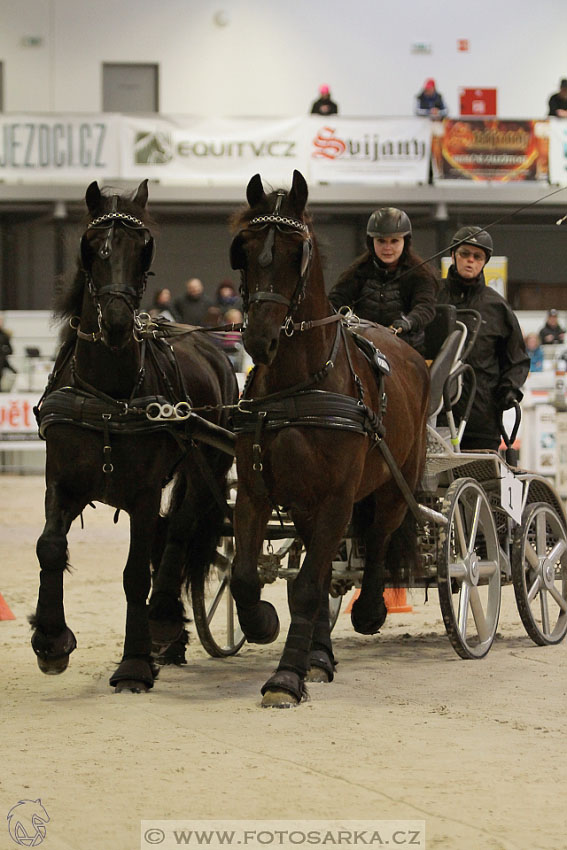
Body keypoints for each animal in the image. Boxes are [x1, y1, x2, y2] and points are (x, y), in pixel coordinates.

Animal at [32, 179, 239, 688]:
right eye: (91, 246)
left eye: (144, 248)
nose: (118, 323)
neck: (109, 393)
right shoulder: (63, 480)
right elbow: (50, 547)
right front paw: (50, 641)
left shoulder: (143, 493)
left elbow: (133, 575)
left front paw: (135, 663)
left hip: (209, 463)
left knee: (181, 528)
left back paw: (162, 619)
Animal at [231, 169, 430, 704]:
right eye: (244, 248)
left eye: (296, 252)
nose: (259, 339)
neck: (300, 385)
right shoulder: (256, 493)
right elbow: (246, 576)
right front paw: (263, 625)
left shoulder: (338, 499)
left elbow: (305, 587)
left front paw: (284, 678)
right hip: (304, 505)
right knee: (321, 575)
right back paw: (318, 655)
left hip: (394, 487)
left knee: (378, 543)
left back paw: (369, 611)